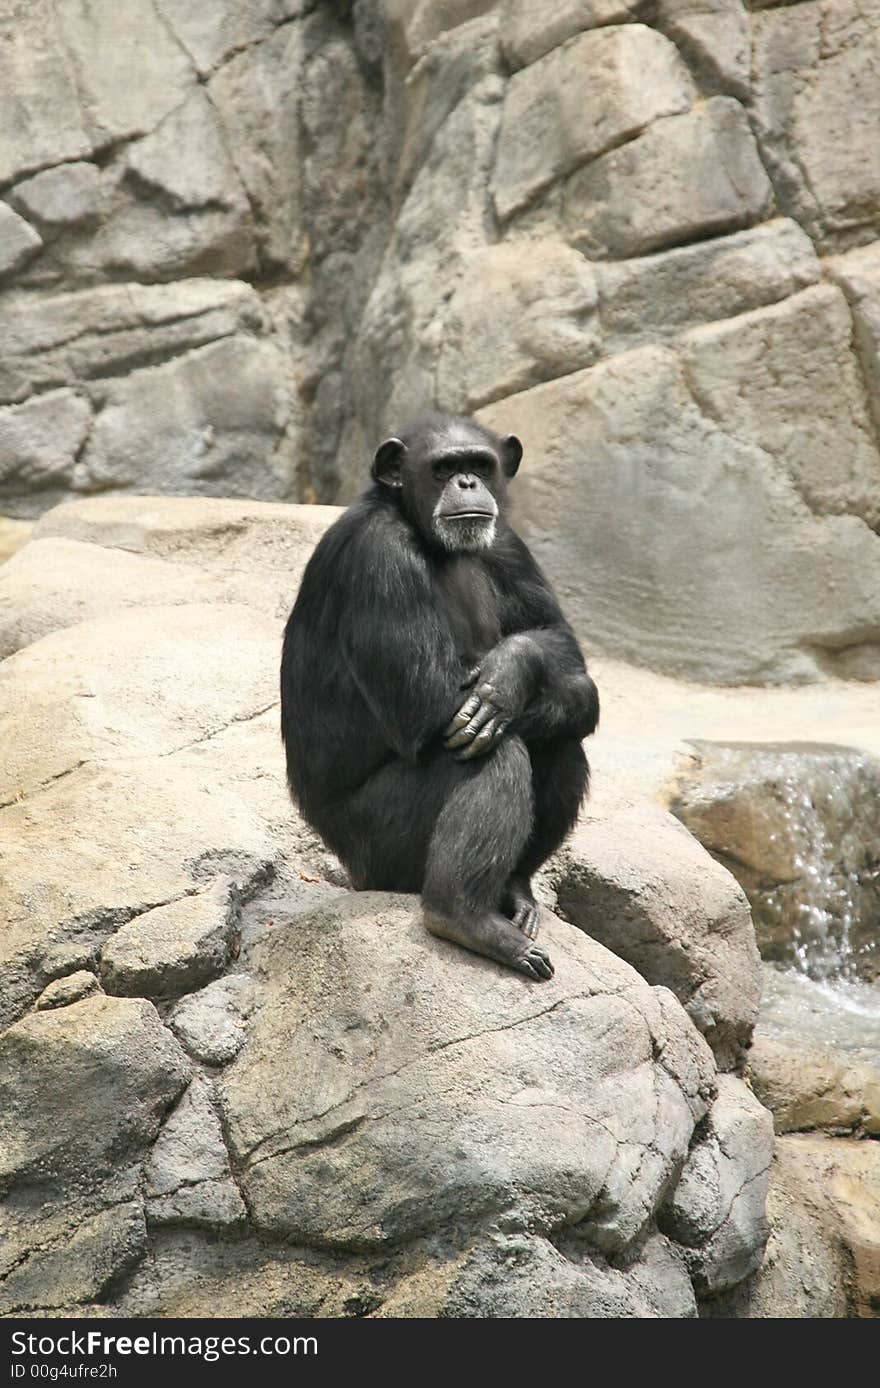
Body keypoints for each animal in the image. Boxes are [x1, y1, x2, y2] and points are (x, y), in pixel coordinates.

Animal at [280, 408, 596, 977]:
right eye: (445, 467)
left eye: (480, 464)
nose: (467, 482)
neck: (424, 534)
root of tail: (353, 875)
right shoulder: (379, 556)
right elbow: (429, 706)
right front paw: (496, 688)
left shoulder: (509, 541)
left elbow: (561, 645)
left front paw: (511, 671)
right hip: (380, 849)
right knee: (494, 753)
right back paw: (462, 917)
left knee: (560, 739)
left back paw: (515, 891)